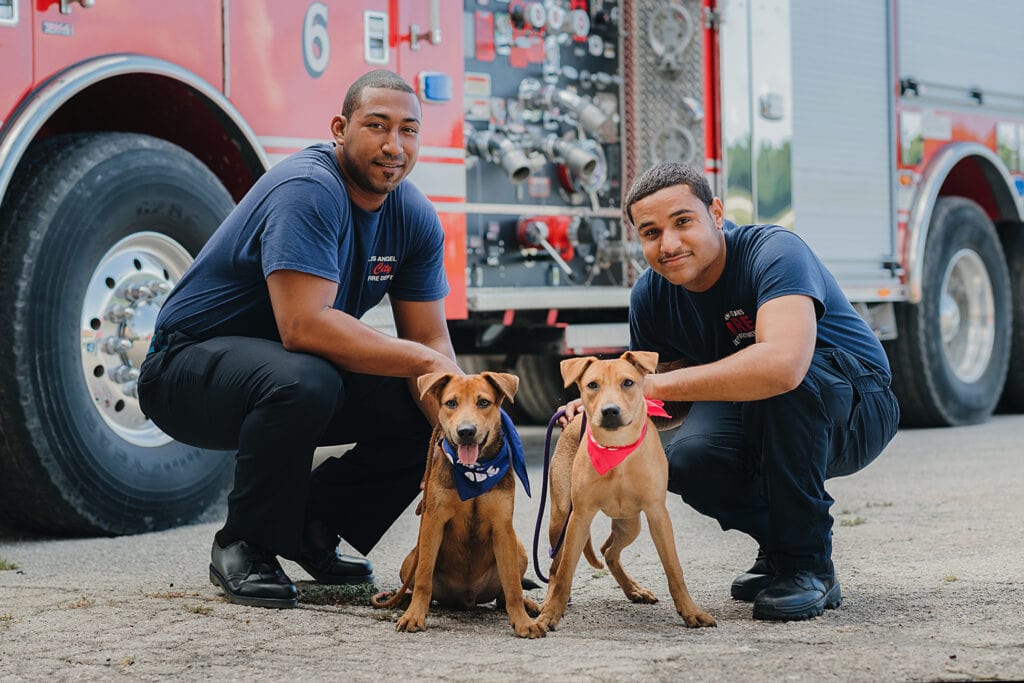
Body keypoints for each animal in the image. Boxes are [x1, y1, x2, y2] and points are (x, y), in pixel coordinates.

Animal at [385, 370, 544, 638]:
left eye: (483, 402)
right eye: (451, 403)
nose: (466, 431)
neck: (474, 473)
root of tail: (467, 599)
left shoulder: (503, 528)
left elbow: (513, 586)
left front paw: (522, 622)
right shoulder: (433, 523)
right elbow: (424, 579)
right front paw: (414, 616)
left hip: (519, 549)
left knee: (504, 595)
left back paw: (528, 605)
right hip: (411, 559)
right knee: (417, 584)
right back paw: (404, 600)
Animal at [536, 356, 712, 634]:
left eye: (628, 382)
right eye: (592, 384)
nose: (610, 411)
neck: (616, 448)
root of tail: (576, 417)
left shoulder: (657, 513)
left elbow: (674, 570)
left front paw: (691, 612)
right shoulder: (580, 517)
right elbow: (564, 573)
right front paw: (550, 614)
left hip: (630, 524)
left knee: (608, 551)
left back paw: (634, 590)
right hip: (561, 519)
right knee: (556, 565)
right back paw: (549, 601)